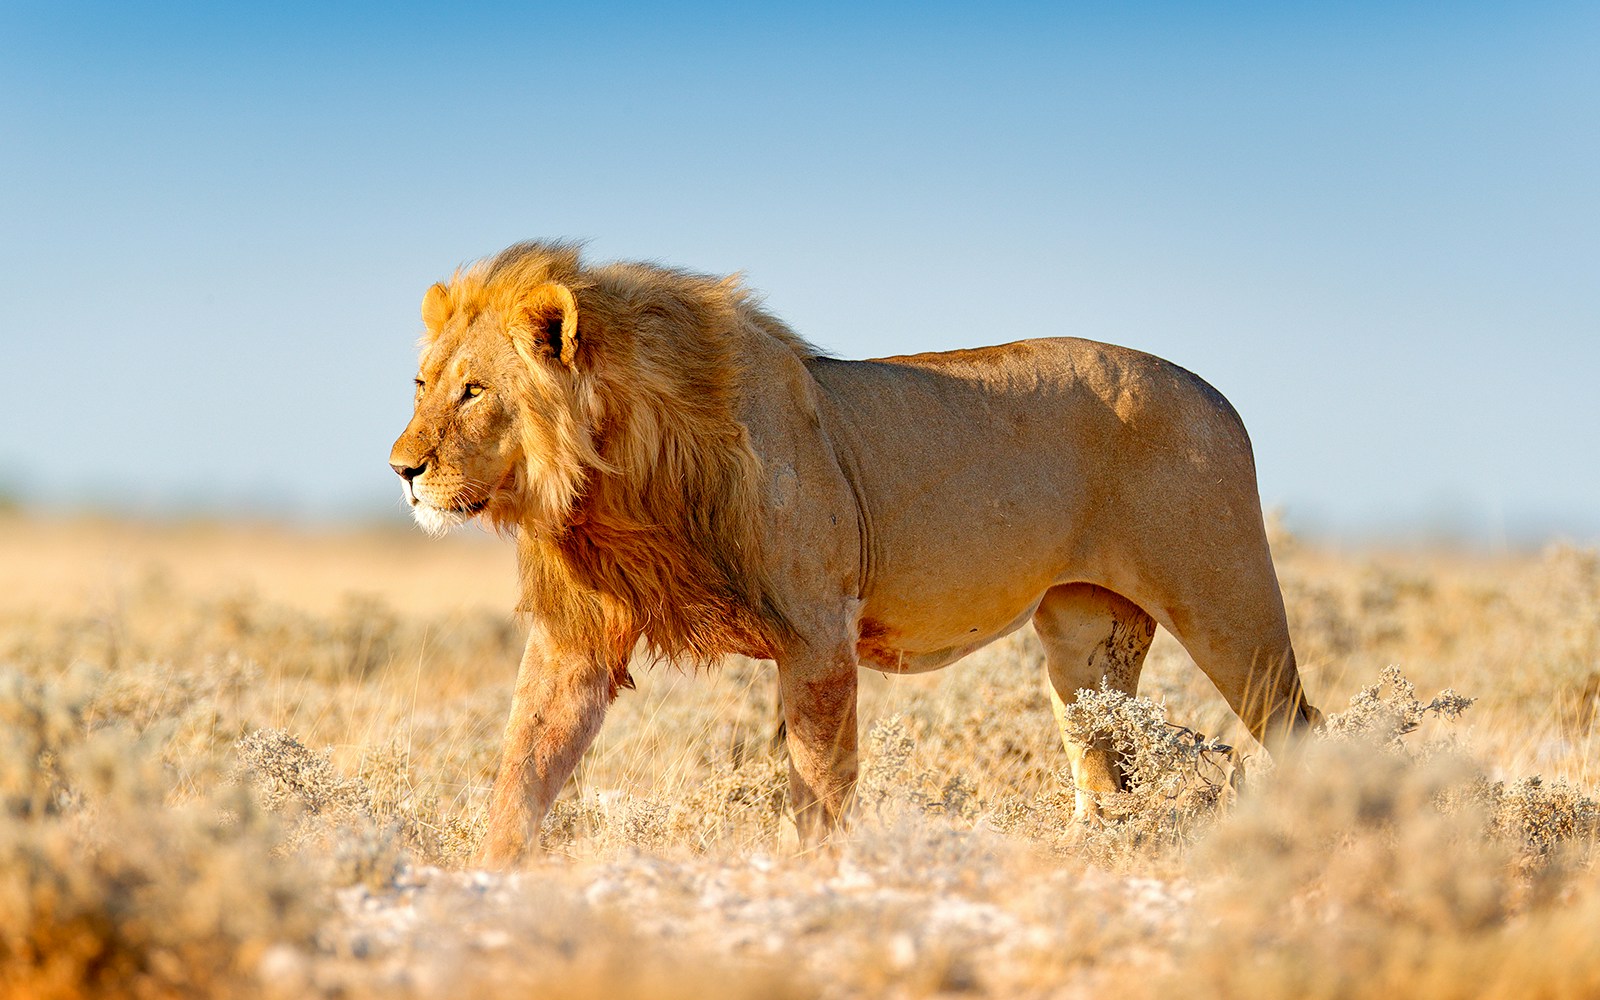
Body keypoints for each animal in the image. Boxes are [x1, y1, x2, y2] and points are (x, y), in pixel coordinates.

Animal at [389, 241, 1322, 866]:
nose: (402, 470)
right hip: (1085, 639)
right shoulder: (574, 638)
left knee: (1301, 727)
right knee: (1104, 772)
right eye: (423, 385)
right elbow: (524, 767)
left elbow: (818, 783)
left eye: (474, 391)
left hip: (1229, 603)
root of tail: (1219, 396)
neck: (611, 482)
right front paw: (486, 884)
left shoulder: (817, 636)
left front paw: (818, 877)